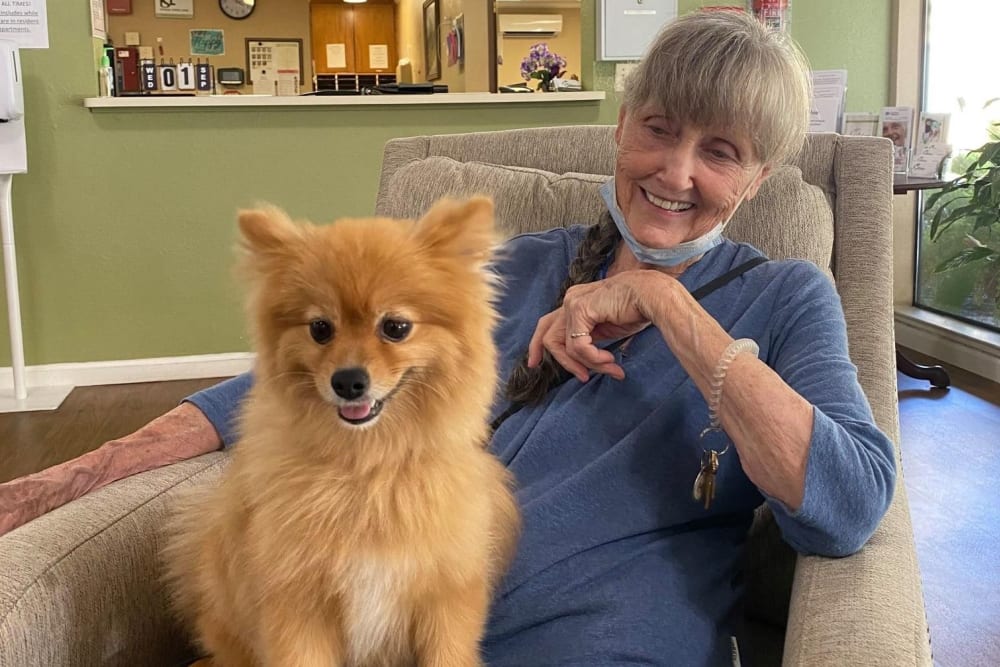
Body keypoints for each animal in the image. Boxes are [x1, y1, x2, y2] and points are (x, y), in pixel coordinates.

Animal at [160, 198, 520, 667]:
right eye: (320, 329)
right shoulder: (297, 606)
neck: (365, 472)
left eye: (396, 327)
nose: (348, 381)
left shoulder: (445, 600)